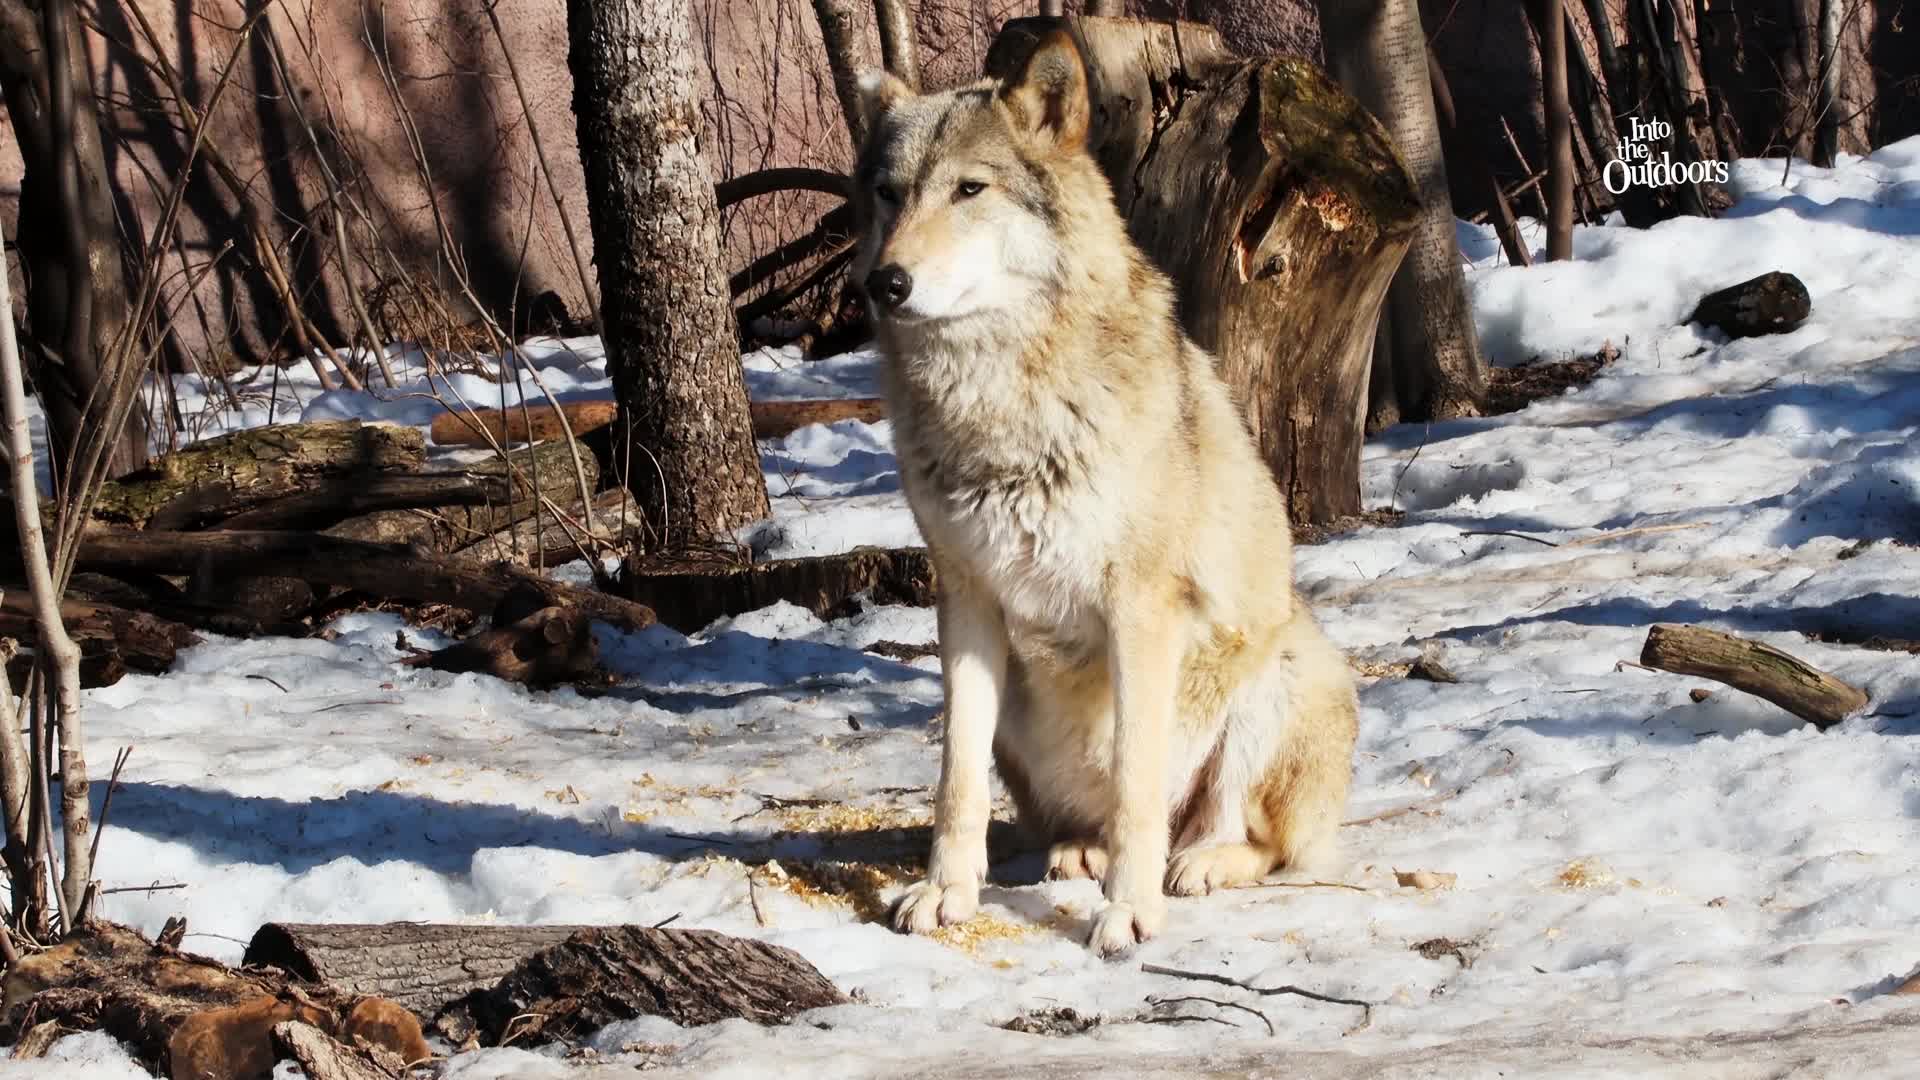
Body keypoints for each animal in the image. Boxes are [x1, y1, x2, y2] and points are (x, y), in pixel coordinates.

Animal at [852, 30, 1360, 957]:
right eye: (889, 194)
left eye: (970, 189)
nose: (885, 283)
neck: (999, 402)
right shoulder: (964, 600)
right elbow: (954, 781)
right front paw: (946, 894)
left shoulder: (1141, 607)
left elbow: (1135, 781)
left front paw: (1129, 911)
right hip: (1021, 715)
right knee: (1070, 818)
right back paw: (1078, 853)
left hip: (1280, 669)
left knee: (1254, 840)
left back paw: (1193, 866)